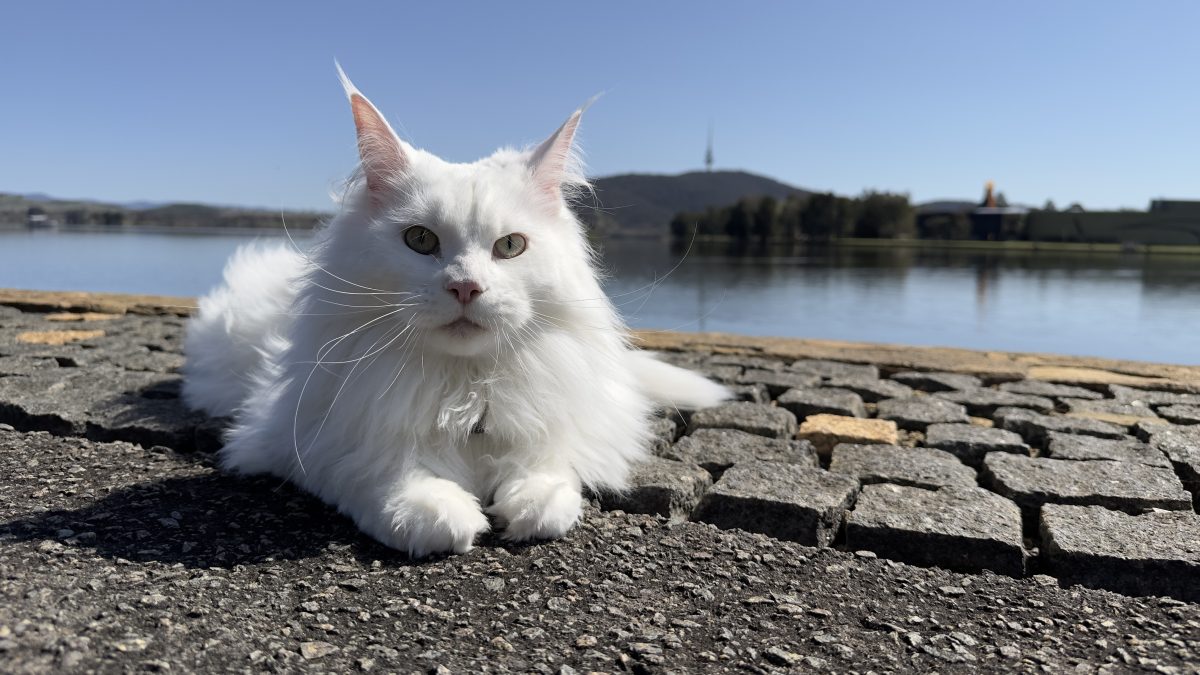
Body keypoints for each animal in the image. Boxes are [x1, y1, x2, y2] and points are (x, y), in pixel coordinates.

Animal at [184, 65, 729, 554]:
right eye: (420, 240)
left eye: (510, 246)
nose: (465, 287)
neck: (464, 390)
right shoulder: (298, 437)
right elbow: (381, 473)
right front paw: (437, 513)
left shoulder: (557, 423)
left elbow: (551, 473)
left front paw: (529, 507)